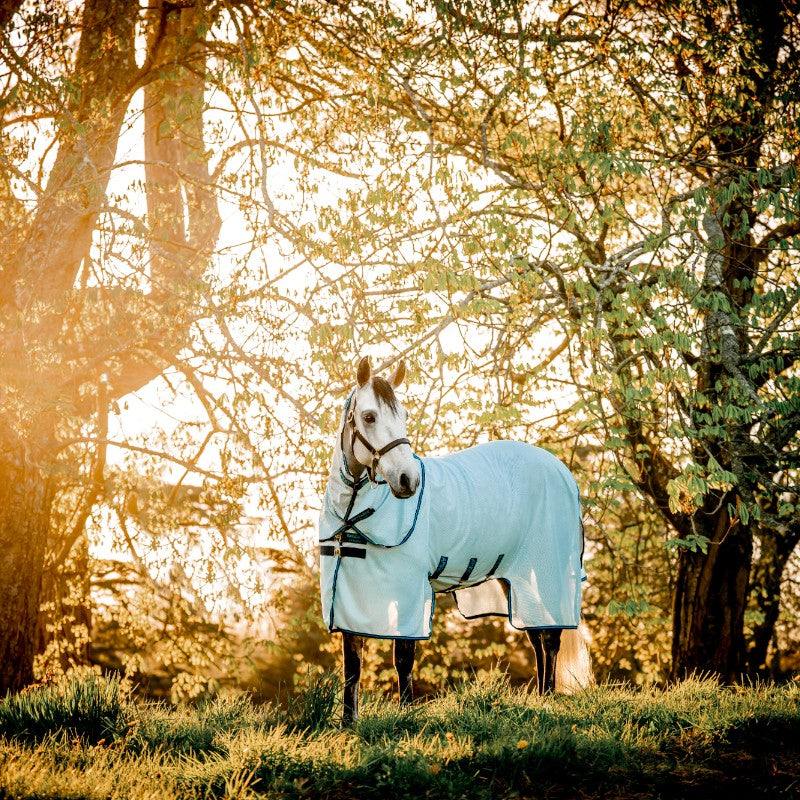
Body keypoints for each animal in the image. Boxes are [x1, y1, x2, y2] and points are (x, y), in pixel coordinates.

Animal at [320, 360, 592, 720]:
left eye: (404, 415)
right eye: (368, 416)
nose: (408, 480)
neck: (356, 510)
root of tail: (564, 474)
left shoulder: (409, 588)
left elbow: (403, 657)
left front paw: (407, 713)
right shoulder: (350, 593)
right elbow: (352, 663)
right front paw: (349, 723)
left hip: (546, 574)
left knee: (551, 638)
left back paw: (548, 697)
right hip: (517, 580)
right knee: (536, 635)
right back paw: (540, 695)